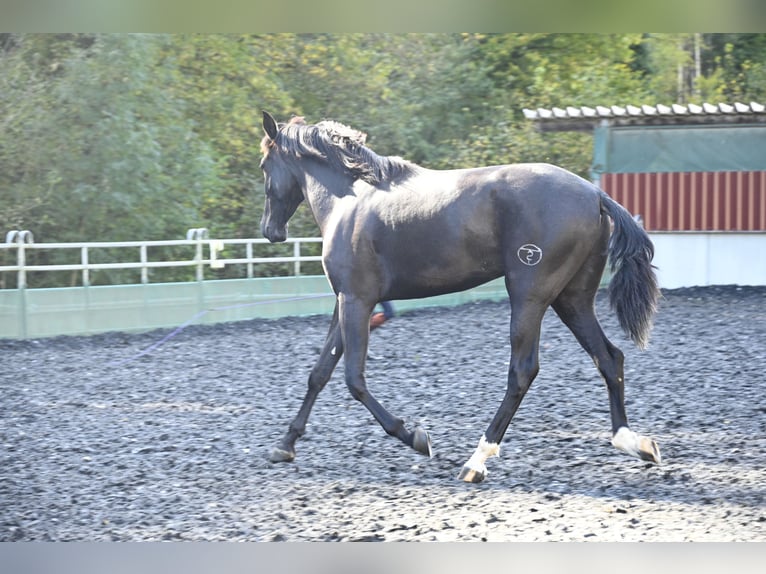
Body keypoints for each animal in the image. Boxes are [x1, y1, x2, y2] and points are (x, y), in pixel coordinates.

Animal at [260, 111, 664, 482]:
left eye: (265, 165)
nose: (270, 231)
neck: (351, 200)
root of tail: (595, 194)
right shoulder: (344, 301)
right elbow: (319, 373)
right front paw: (284, 446)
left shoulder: (356, 300)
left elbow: (353, 379)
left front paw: (415, 437)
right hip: (572, 299)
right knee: (608, 357)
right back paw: (634, 443)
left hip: (530, 297)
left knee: (523, 371)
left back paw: (476, 461)